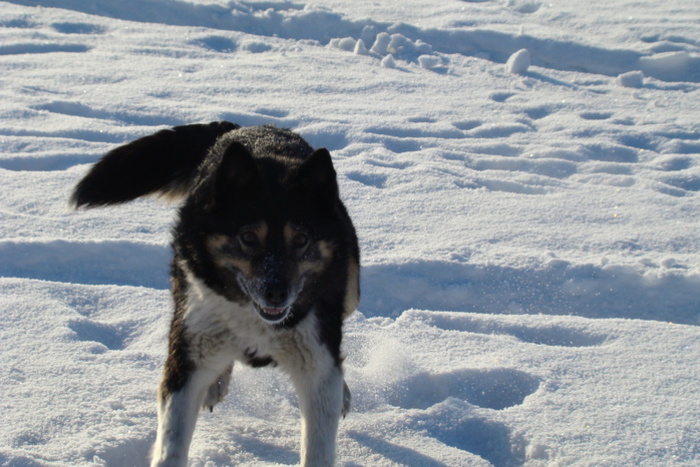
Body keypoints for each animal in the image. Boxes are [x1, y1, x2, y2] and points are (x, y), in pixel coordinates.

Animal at [71, 122, 360, 466]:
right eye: (248, 237)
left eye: (301, 239)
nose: (276, 293)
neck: (254, 316)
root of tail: (241, 127)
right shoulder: (186, 357)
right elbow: (172, 442)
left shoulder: (316, 360)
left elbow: (319, 437)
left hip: (350, 292)